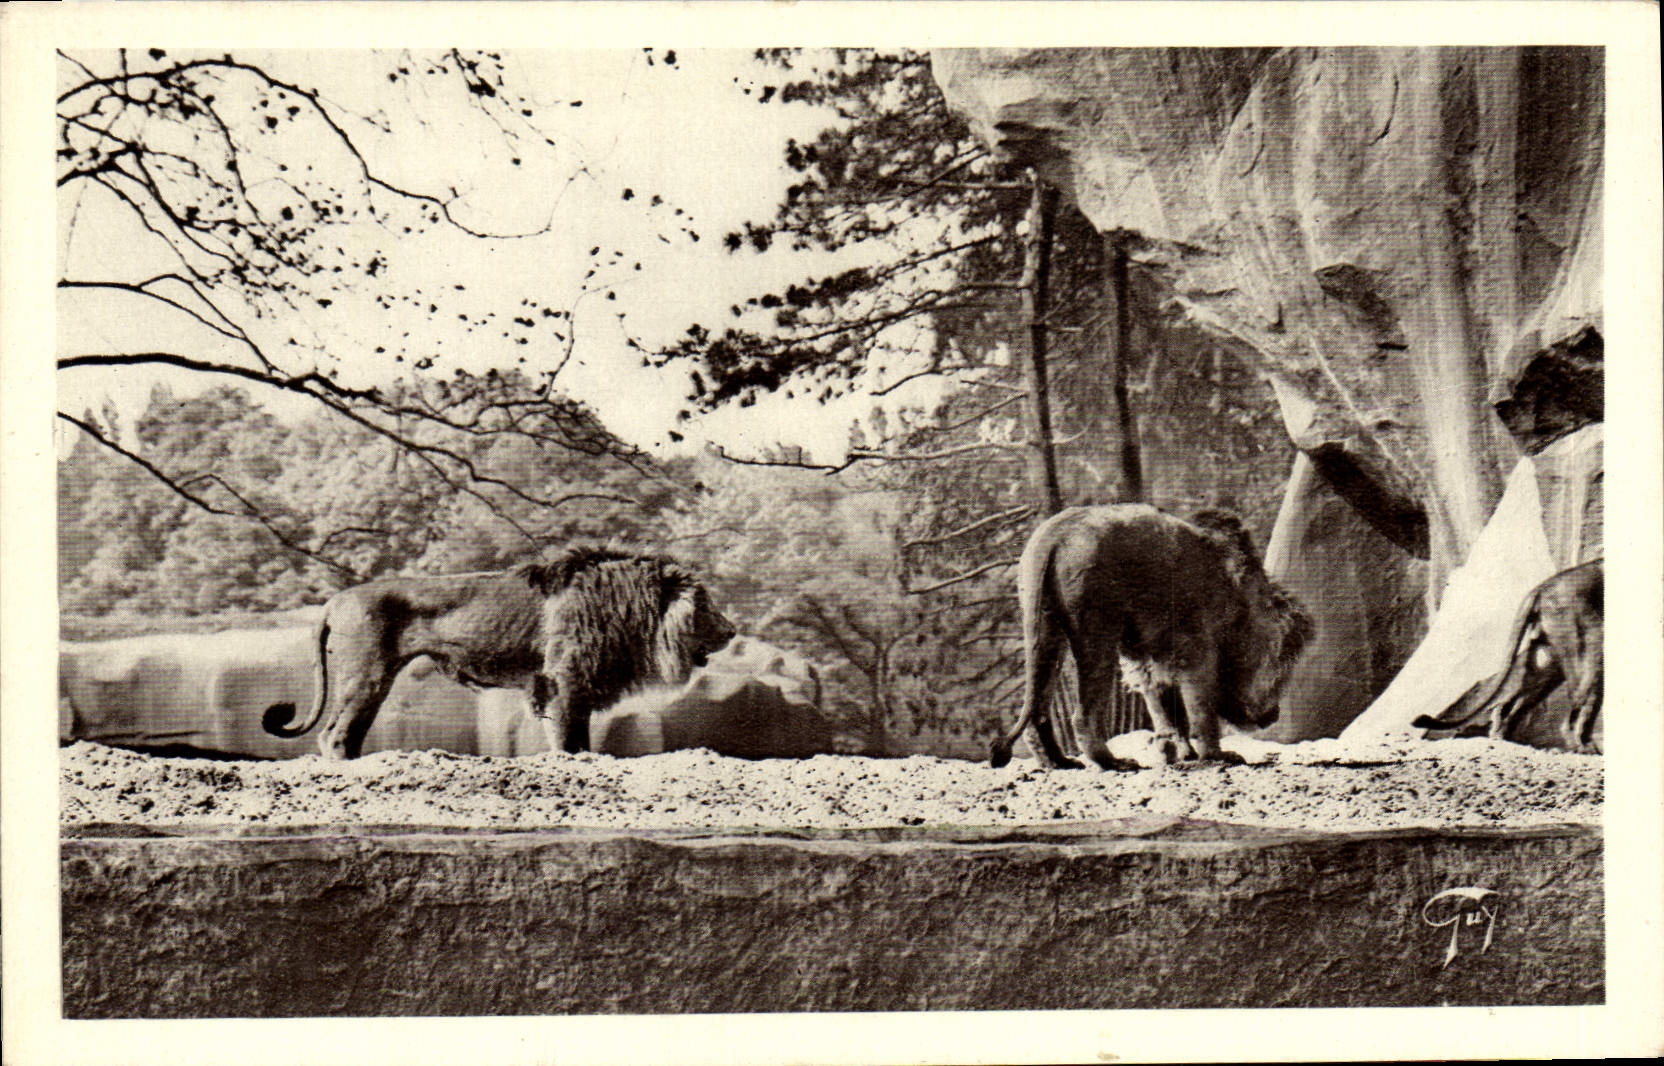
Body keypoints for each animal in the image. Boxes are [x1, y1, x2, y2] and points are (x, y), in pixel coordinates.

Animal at [263, 546, 735, 759]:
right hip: (366, 676)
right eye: (706, 605)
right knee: (333, 734)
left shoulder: (569, 687)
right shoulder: (564, 682)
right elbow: (569, 740)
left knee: (347, 734)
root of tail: (334, 601)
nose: (732, 631)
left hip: (373, 683)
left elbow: (576, 740)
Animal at [991, 504, 1313, 770]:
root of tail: (1054, 534)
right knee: (1083, 716)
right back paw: (1111, 762)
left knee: (1038, 708)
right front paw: (1216, 756)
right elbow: (1200, 708)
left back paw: (1058, 762)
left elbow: (1164, 706)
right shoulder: (1196, 647)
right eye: (1281, 669)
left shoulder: (1149, 651)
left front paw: (1181, 753)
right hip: (1096, 628)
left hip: (1042, 624)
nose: (1273, 715)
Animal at [1412, 559, 1602, 752]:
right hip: (1590, 644)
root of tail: (1542, 588)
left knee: (1513, 700)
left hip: (1548, 656)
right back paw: (1585, 747)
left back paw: (1503, 736)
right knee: (1579, 702)